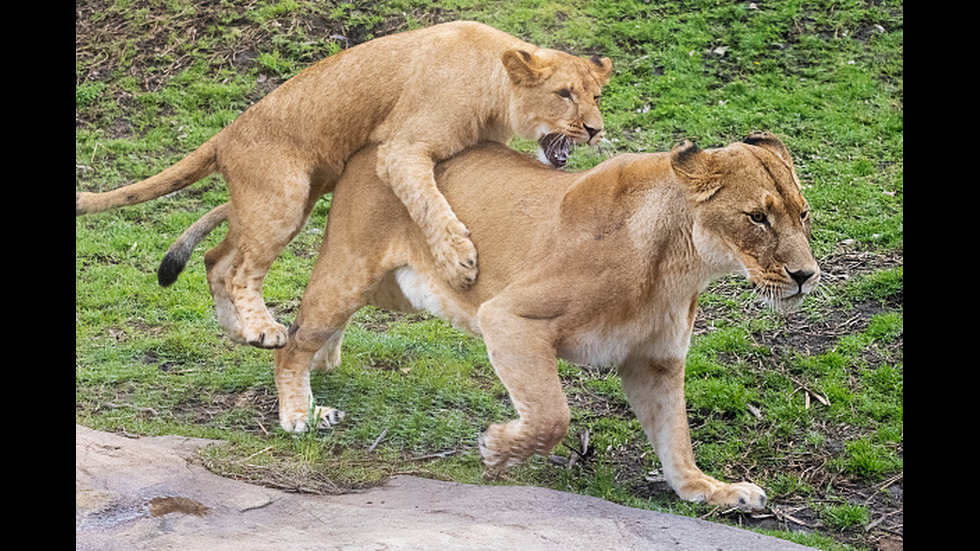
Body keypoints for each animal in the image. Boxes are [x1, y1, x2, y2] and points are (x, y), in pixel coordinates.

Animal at [74, 22, 612, 350]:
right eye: (564, 94)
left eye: (596, 96)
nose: (595, 130)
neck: (495, 83)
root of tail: (227, 134)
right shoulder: (400, 149)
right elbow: (429, 202)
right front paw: (459, 261)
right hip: (284, 198)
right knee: (240, 269)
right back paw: (263, 330)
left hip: (279, 202)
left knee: (216, 258)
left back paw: (236, 329)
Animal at [264, 133, 816, 512]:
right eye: (757, 217)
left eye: (803, 213)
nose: (805, 275)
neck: (680, 265)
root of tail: (375, 144)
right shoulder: (509, 315)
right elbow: (553, 415)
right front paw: (497, 453)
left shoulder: (655, 361)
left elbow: (676, 438)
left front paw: (711, 490)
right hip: (351, 271)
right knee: (292, 339)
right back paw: (300, 412)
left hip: (396, 290)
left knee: (317, 329)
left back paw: (325, 361)